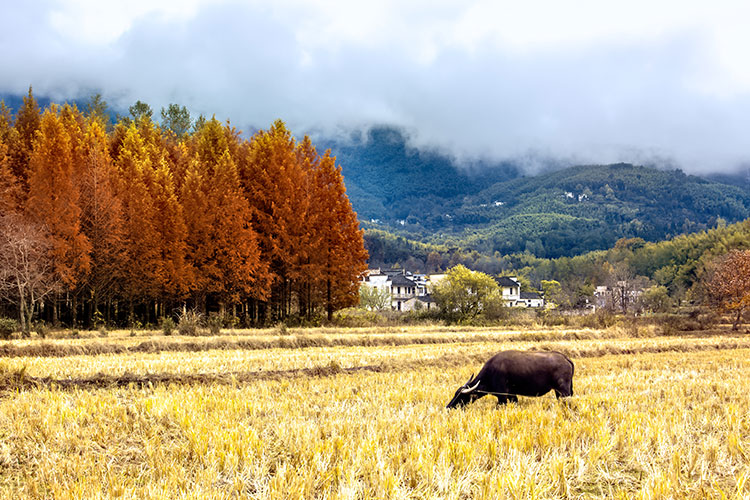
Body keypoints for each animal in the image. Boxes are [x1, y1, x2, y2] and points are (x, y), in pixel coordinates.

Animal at [446, 350, 576, 408]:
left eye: (461, 396)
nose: (449, 407)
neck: (491, 372)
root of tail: (565, 358)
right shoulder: (512, 395)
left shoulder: (502, 396)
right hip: (558, 392)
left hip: (564, 390)